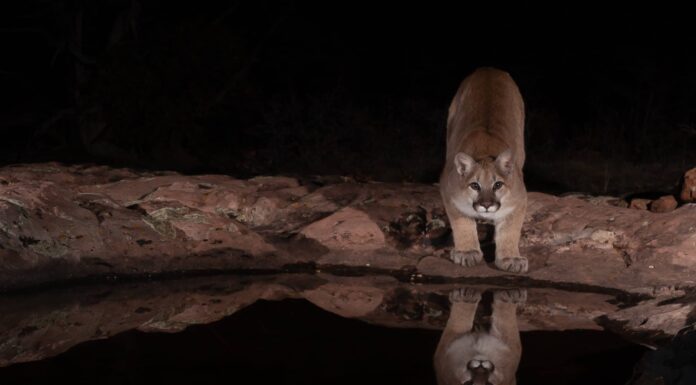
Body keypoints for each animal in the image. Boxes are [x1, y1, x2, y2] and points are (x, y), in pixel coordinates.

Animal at [440, 67, 528, 272]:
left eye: (497, 185)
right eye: (475, 185)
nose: (487, 205)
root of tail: (489, 68)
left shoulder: (519, 200)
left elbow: (510, 230)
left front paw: (511, 257)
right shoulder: (449, 193)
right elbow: (462, 223)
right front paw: (467, 252)